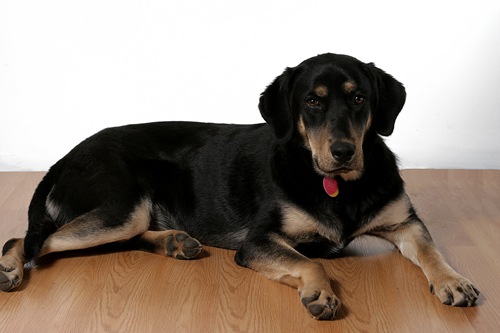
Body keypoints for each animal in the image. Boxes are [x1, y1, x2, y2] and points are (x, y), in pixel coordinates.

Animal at [0, 52, 478, 320]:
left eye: (360, 98)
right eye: (313, 101)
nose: (344, 152)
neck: (335, 185)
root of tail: (65, 156)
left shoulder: (405, 223)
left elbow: (432, 251)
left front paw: (453, 281)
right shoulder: (260, 240)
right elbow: (311, 263)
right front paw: (319, 291)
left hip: (127, 214)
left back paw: (176, 241)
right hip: (122, 206)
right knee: (26, 239)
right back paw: (10, 267)